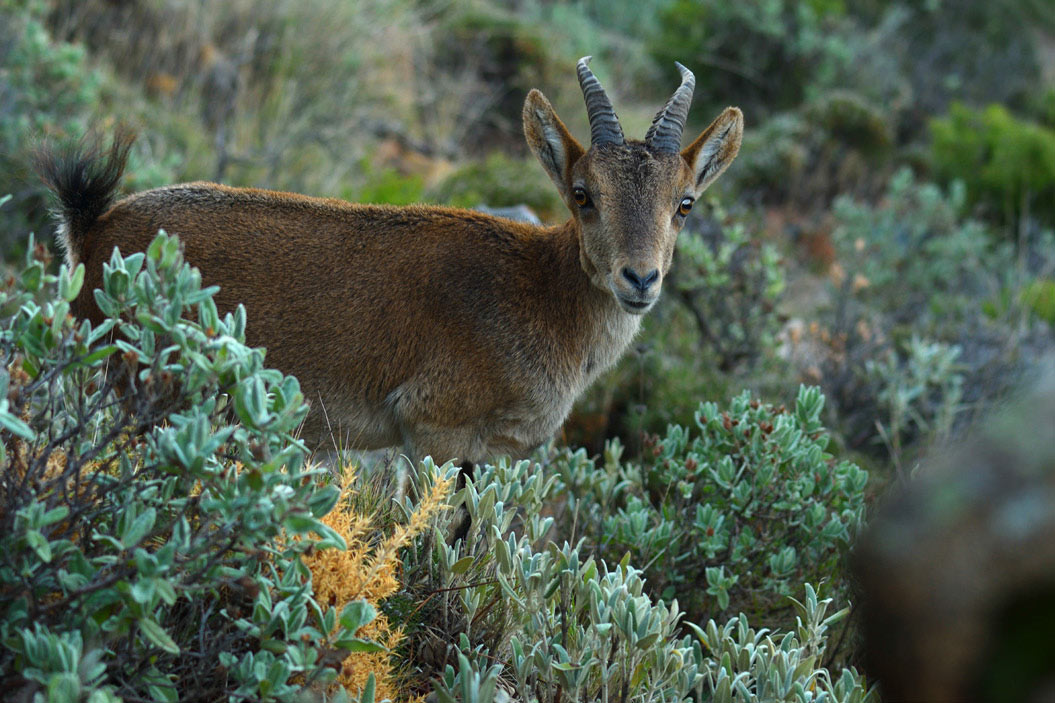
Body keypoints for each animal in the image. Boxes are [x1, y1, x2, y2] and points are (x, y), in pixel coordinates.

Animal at [35, 57, 743, 469]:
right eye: (582, 194)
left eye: (684, 203)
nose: (639, 279)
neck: (537, 293)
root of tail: (90, 229)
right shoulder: (435, 427)